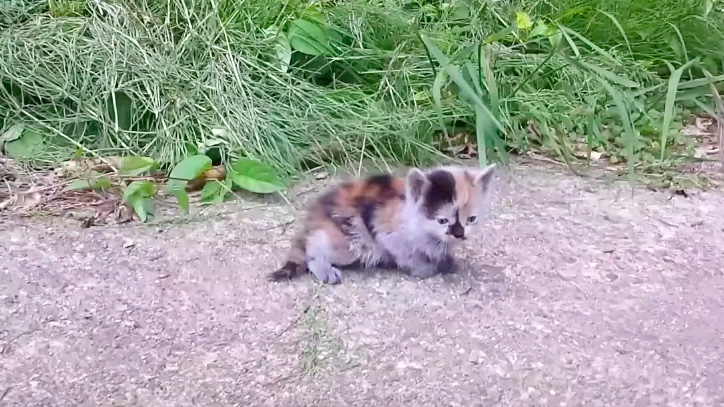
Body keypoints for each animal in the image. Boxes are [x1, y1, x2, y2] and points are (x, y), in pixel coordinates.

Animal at [268, 164, 498, 286]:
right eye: (442, 220)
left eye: (471, 219)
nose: (459, 234)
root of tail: (313, 217)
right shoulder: (387, 231)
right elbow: (406, 254)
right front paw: (424, 268)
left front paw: (445, 258)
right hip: (348, 241)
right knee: (313, 250)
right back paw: (325, 270)